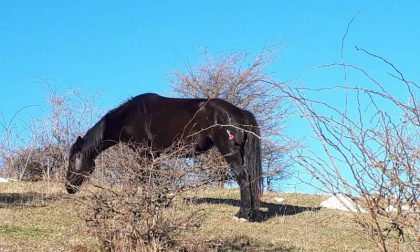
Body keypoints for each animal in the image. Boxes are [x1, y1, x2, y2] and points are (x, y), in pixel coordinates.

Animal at [65, 92, 262, 220]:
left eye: (74, 158)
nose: (68, 188)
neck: (128, 117)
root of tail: (240, 112)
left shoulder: (143, 153)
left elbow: (145, 179)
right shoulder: (154, 154)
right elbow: (155, 179)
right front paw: (158, 202)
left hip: (230, 152)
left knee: (243, 177)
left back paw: (242, 214)